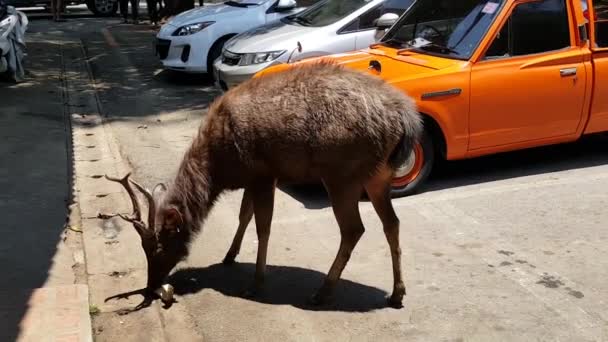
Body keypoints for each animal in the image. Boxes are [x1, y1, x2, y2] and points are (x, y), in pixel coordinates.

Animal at [100, 60, 422, 312]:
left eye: (159, 247)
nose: (150, 287)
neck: (219, 168)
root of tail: (406, 119)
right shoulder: (254, 178)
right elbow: (245, 215)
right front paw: (230, 255)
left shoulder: (262, 174)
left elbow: (262, 227)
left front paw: (256, 282)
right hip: (379, 175)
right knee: (392, 223)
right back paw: (397, 294)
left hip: (342, 173)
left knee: (354, 229)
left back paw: (322, 292)